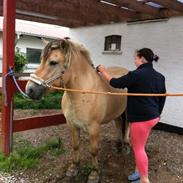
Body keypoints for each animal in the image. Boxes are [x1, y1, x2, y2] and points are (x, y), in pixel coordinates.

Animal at [25, 38, 129, 183]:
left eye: (53, 62)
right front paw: (73, 168)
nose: (29, 90)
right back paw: (118, 146)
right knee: (119, 123)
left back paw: (126, 146)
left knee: (127, 126)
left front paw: (94, 174)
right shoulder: (72, 125)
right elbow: (75, 146)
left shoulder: (94, 128)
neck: (82, 94)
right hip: (117, 112)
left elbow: (93, 151)